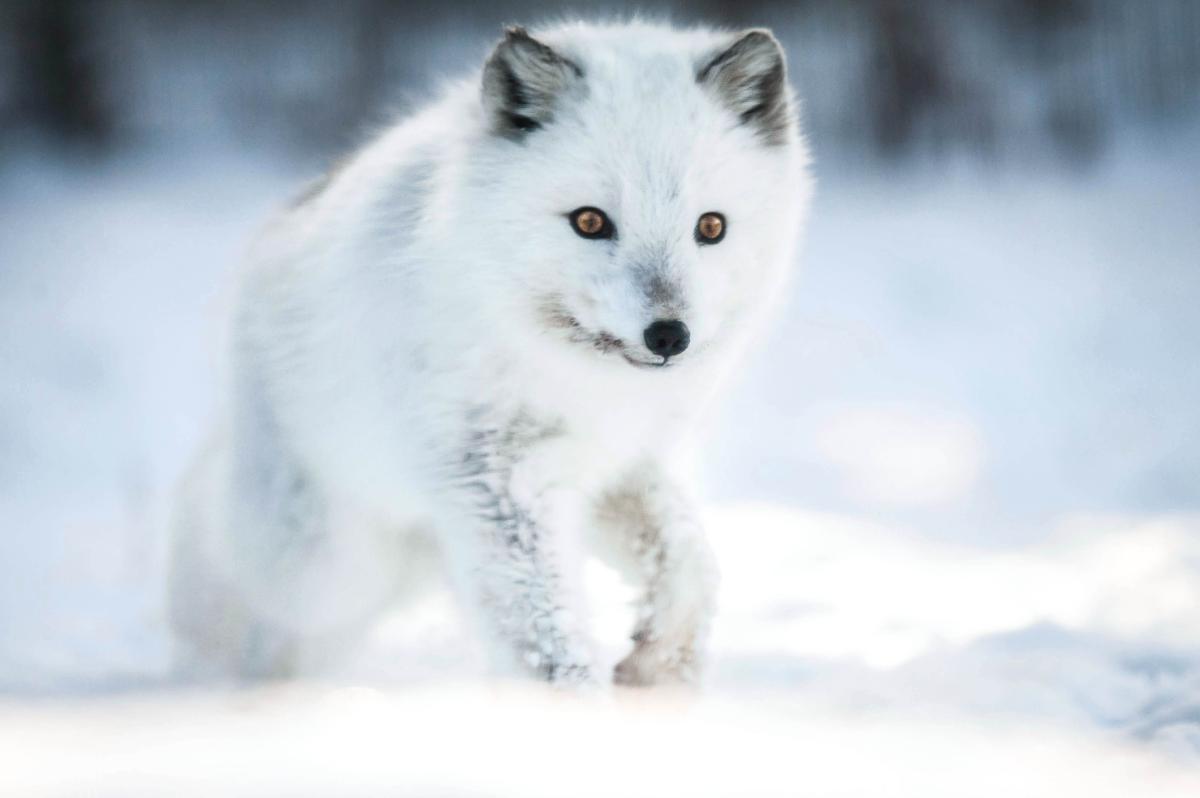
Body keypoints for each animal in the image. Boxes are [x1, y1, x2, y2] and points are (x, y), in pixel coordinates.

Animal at [169, 21, 816, 686]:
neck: (572, 377)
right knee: (232, 570)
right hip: (326, 565)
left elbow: (688, 560)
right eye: (590, 221)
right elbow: (549, 646)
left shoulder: (615, 466)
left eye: (711, 228)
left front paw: (659, 663)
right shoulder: (497, 485)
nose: (668, 336)